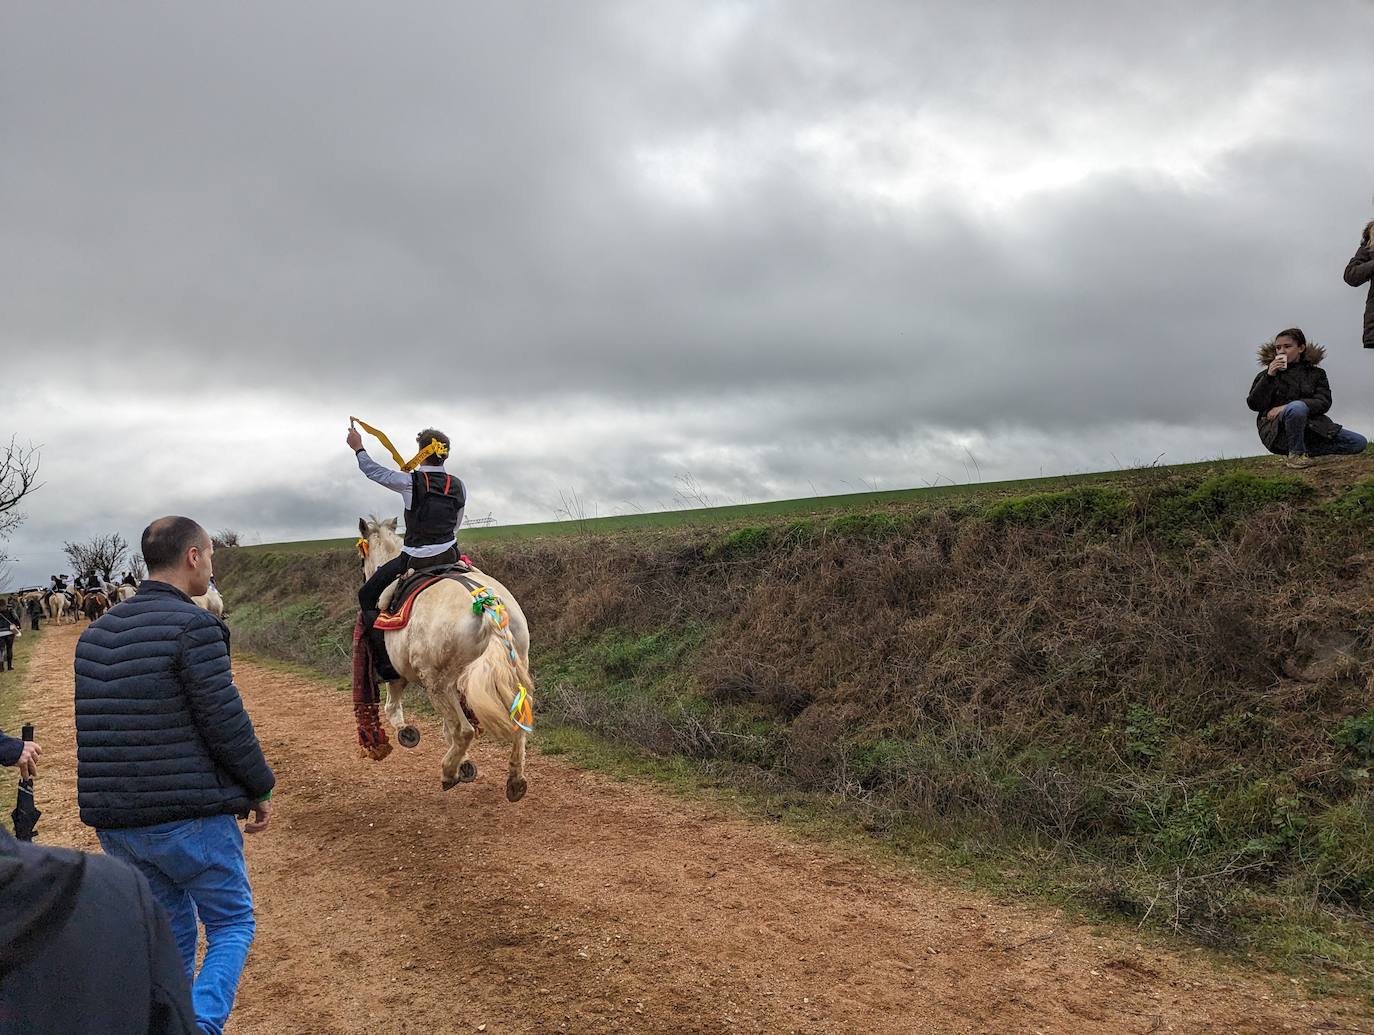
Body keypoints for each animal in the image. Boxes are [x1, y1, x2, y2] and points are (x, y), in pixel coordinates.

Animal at [359, 516, 530, 797]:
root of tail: (484, 603)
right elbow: (446, 728)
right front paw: (465, 763)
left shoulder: (399, 674)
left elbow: (393, 706)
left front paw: (406, 732)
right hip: (508, 674)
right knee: (517, 720)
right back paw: (515, 780)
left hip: (438, 685)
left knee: (464, 730)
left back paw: (448, 772)